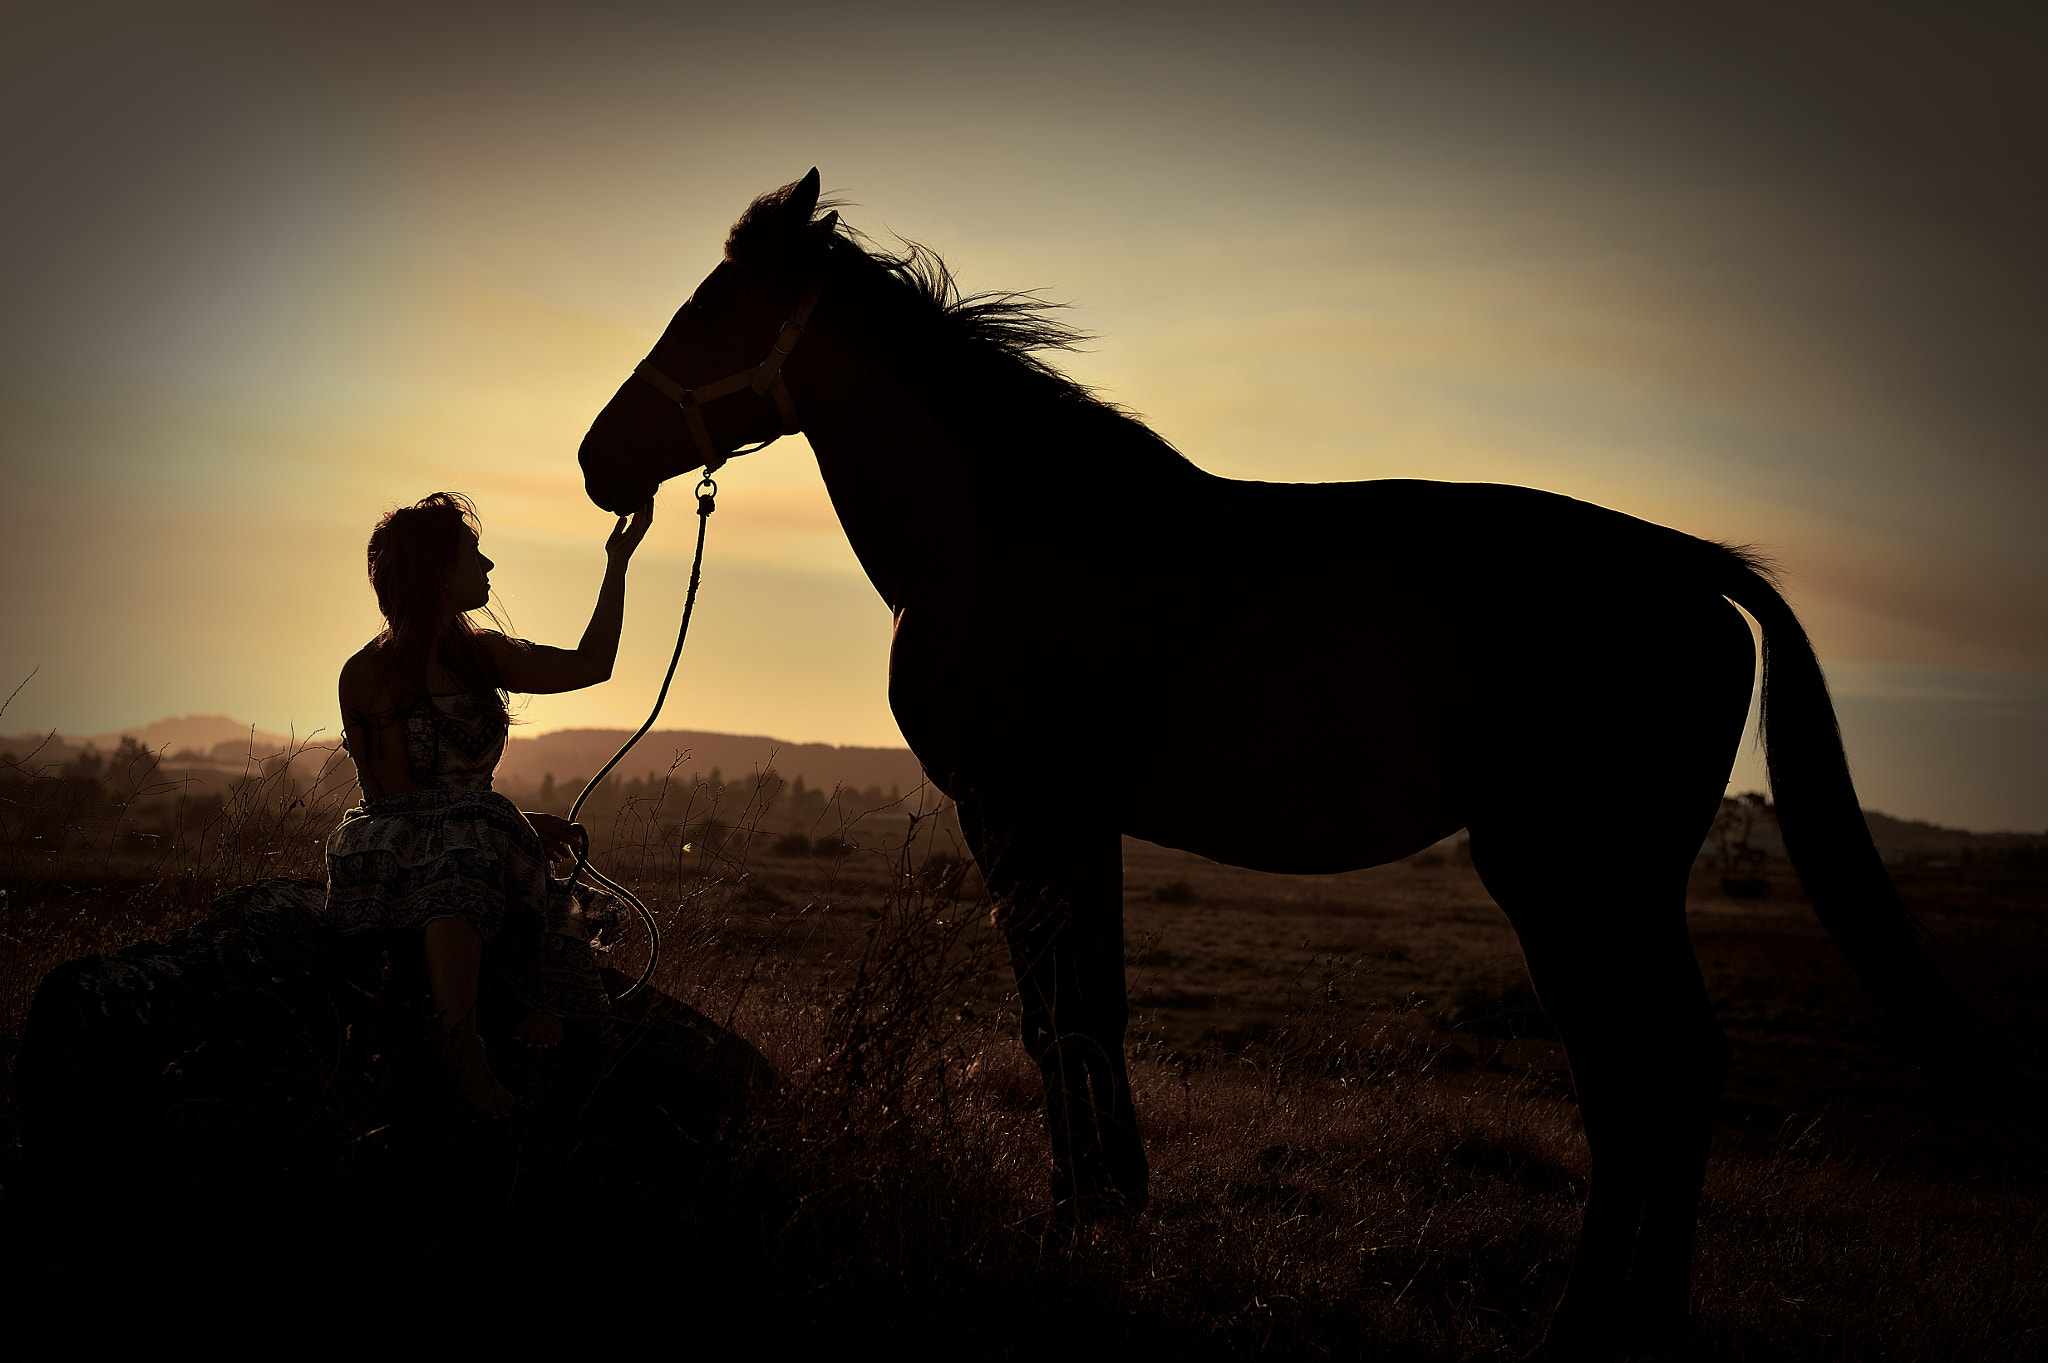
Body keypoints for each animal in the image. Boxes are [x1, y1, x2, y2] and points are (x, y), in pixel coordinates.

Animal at [573, 174, 1998, 1350]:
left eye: (709, 311)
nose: (595, 458)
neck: (1006, 529)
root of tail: (1695, 570)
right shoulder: (1072, 821)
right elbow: (1087, 1010)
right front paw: (1110, 1209)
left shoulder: (1022, 810)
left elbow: (1059, 1015)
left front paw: (1075, 1219)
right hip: (1630, 885)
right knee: (1683, 1067)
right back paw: (1643, 1320)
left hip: (1563, 879)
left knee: (1631, 1074)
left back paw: (1583, 1323)